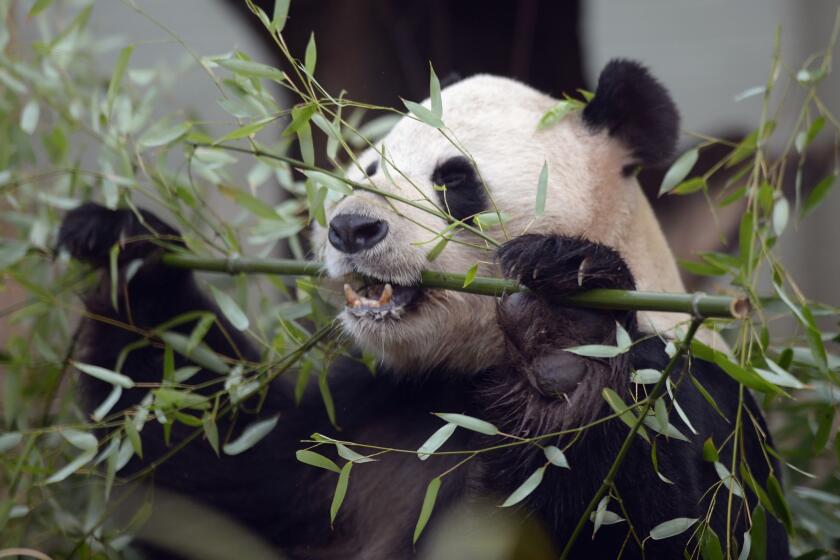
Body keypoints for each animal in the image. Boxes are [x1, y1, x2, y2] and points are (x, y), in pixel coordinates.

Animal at [57, 59, 788, 556]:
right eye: (369, 169)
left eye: (455, 179)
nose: (351, 229)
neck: (467, 379)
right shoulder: (363, 423)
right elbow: (207, 473)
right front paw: (125, 249)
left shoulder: (699, 409)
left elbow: (657, 526)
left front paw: (565, 337)